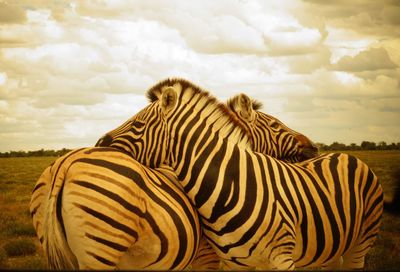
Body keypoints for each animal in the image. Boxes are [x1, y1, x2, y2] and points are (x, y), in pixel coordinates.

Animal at [97, 78, 384, 270]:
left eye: (136, 123)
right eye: (275, 124)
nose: (99, 143)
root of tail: (344, 155)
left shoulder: (275, 259)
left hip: (360, 242)